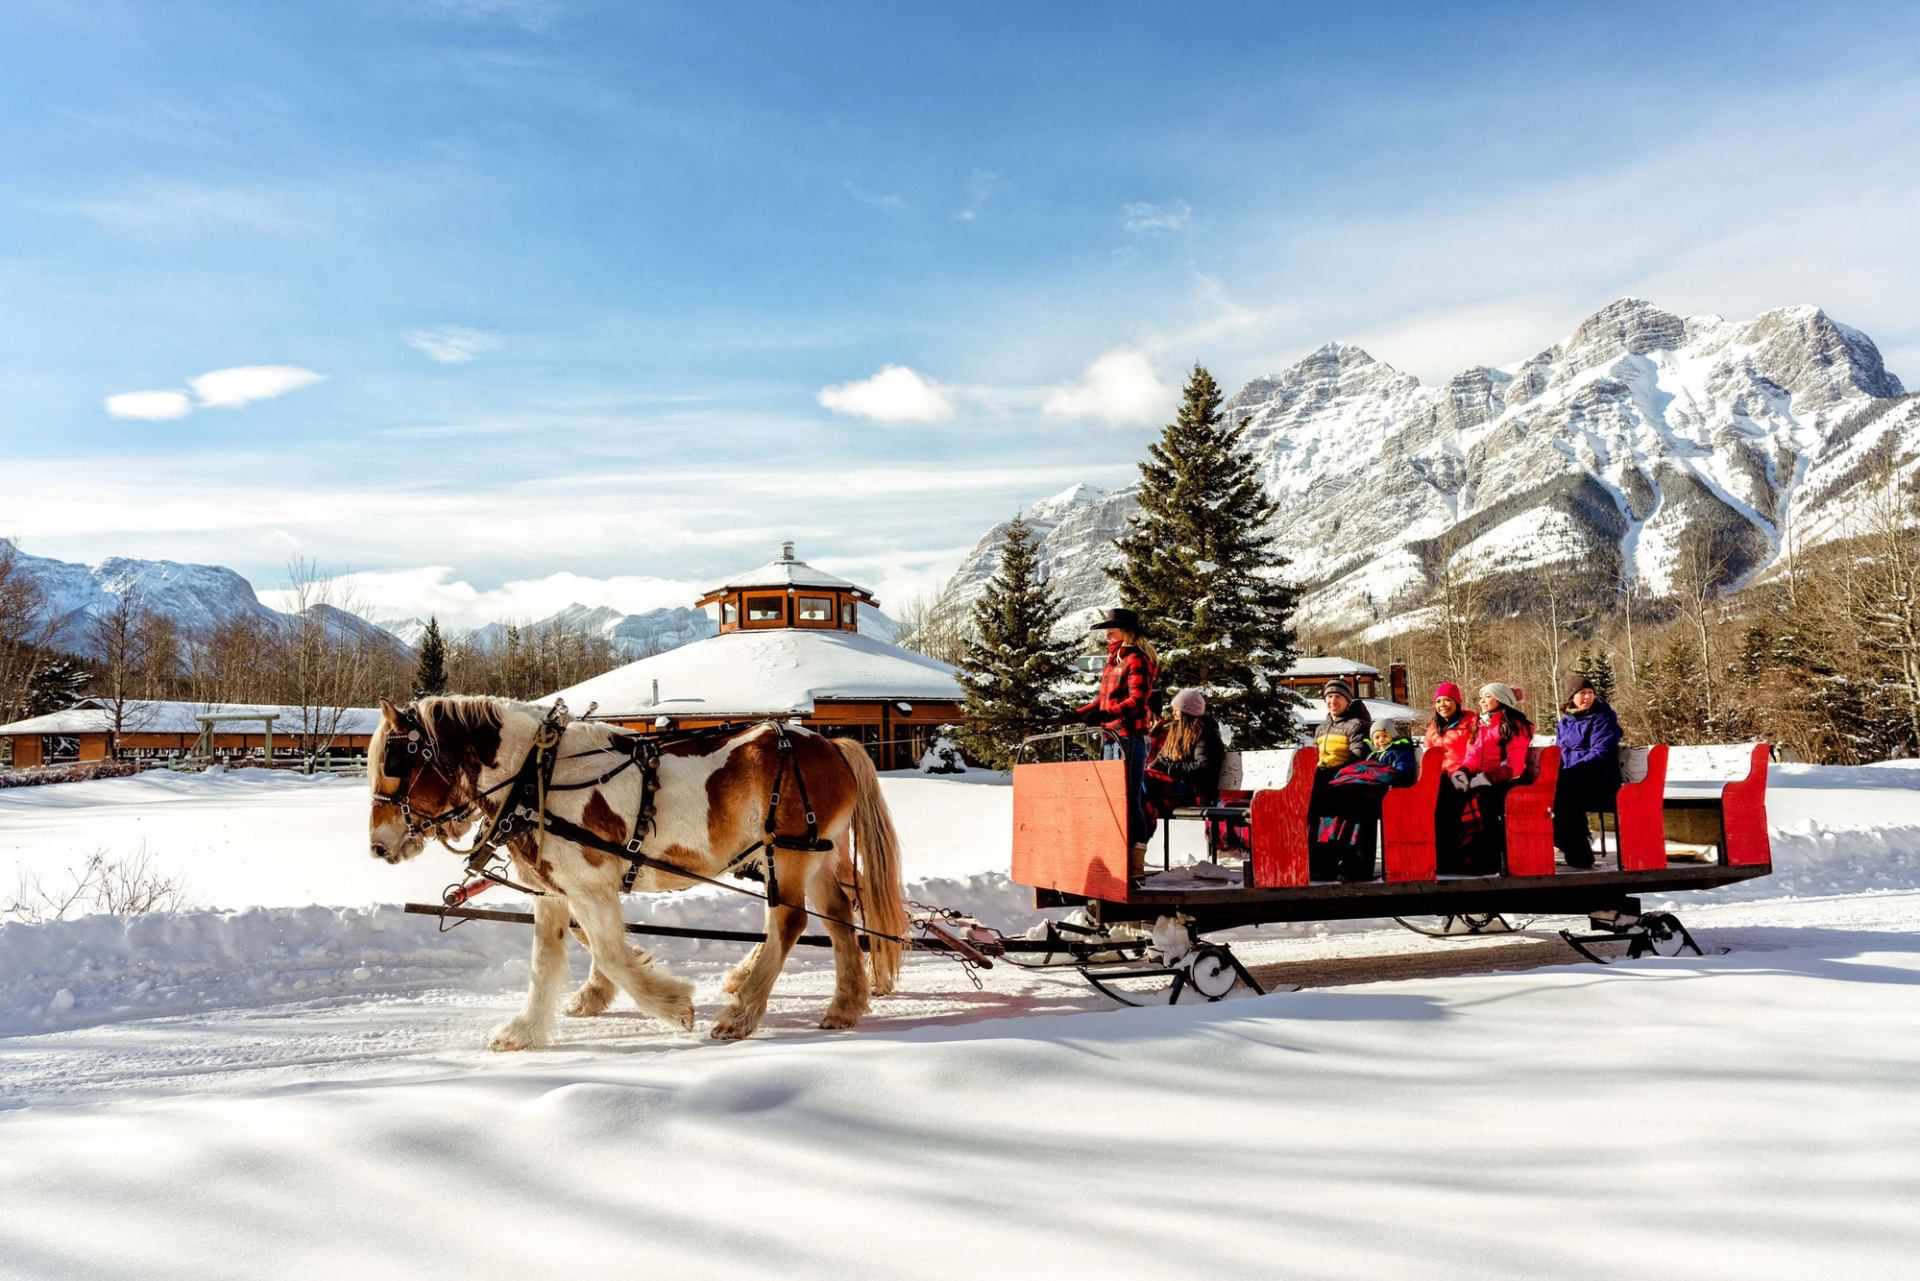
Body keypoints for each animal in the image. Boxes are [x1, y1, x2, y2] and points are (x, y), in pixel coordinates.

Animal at [374, 695, 913, 1044]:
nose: (378, 847)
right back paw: (844, 1006)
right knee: (840, 914)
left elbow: (610, 953)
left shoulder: (590, 885)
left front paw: (673, 1006)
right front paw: (528, 1029)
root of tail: (832, 743)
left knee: (790, 920)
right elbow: (548, 957)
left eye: (394, 762)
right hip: (816, 855)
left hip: (789, 851)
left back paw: (740, 1015)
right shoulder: (555, 890)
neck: (536, 774)